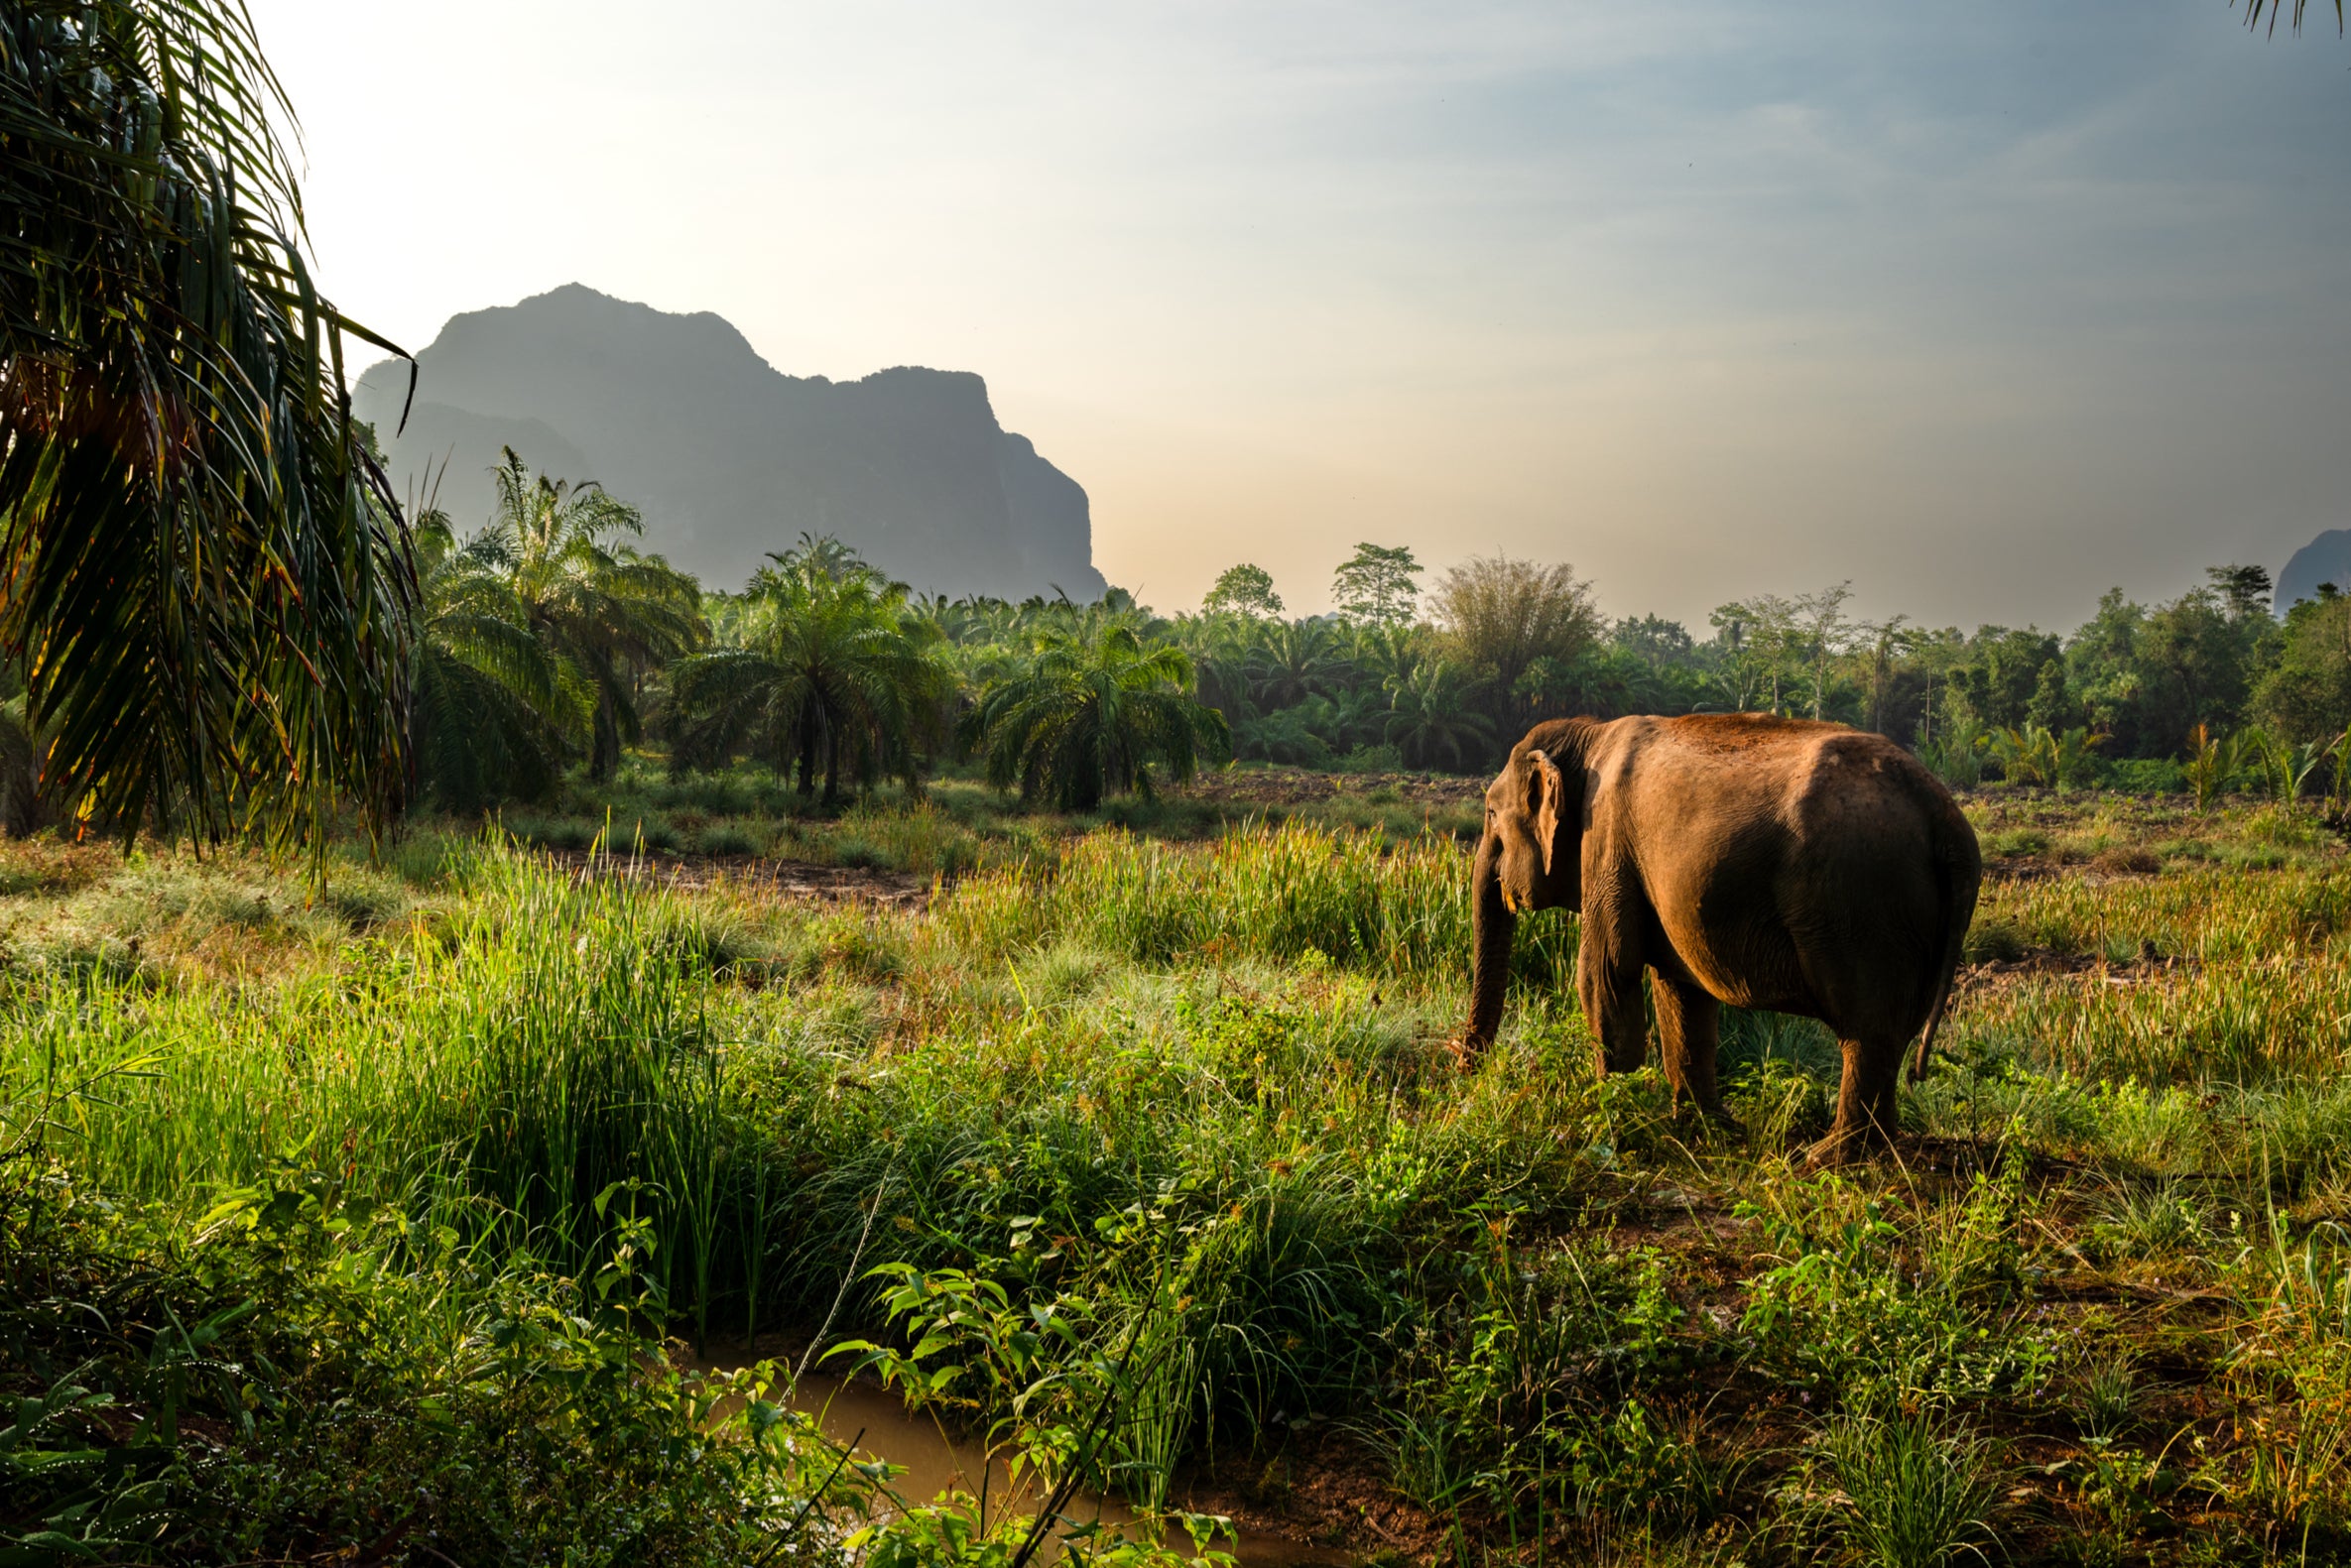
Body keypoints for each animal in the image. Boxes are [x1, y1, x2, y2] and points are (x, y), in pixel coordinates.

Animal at [1447, 714, 1984, 1165]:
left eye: (1491, 813)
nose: (1462, 1072)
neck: (1589, 734)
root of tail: (1947, 817)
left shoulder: (1606, 843)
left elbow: (1604, 976)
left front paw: (1613, 1126)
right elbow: (1680, 991)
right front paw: (1708, 1131)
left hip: (1864, 905)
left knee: (1868, 1030)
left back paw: (1827, 1158)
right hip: (1912, 918)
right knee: (1892, 1033)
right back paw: (1881, 1150)